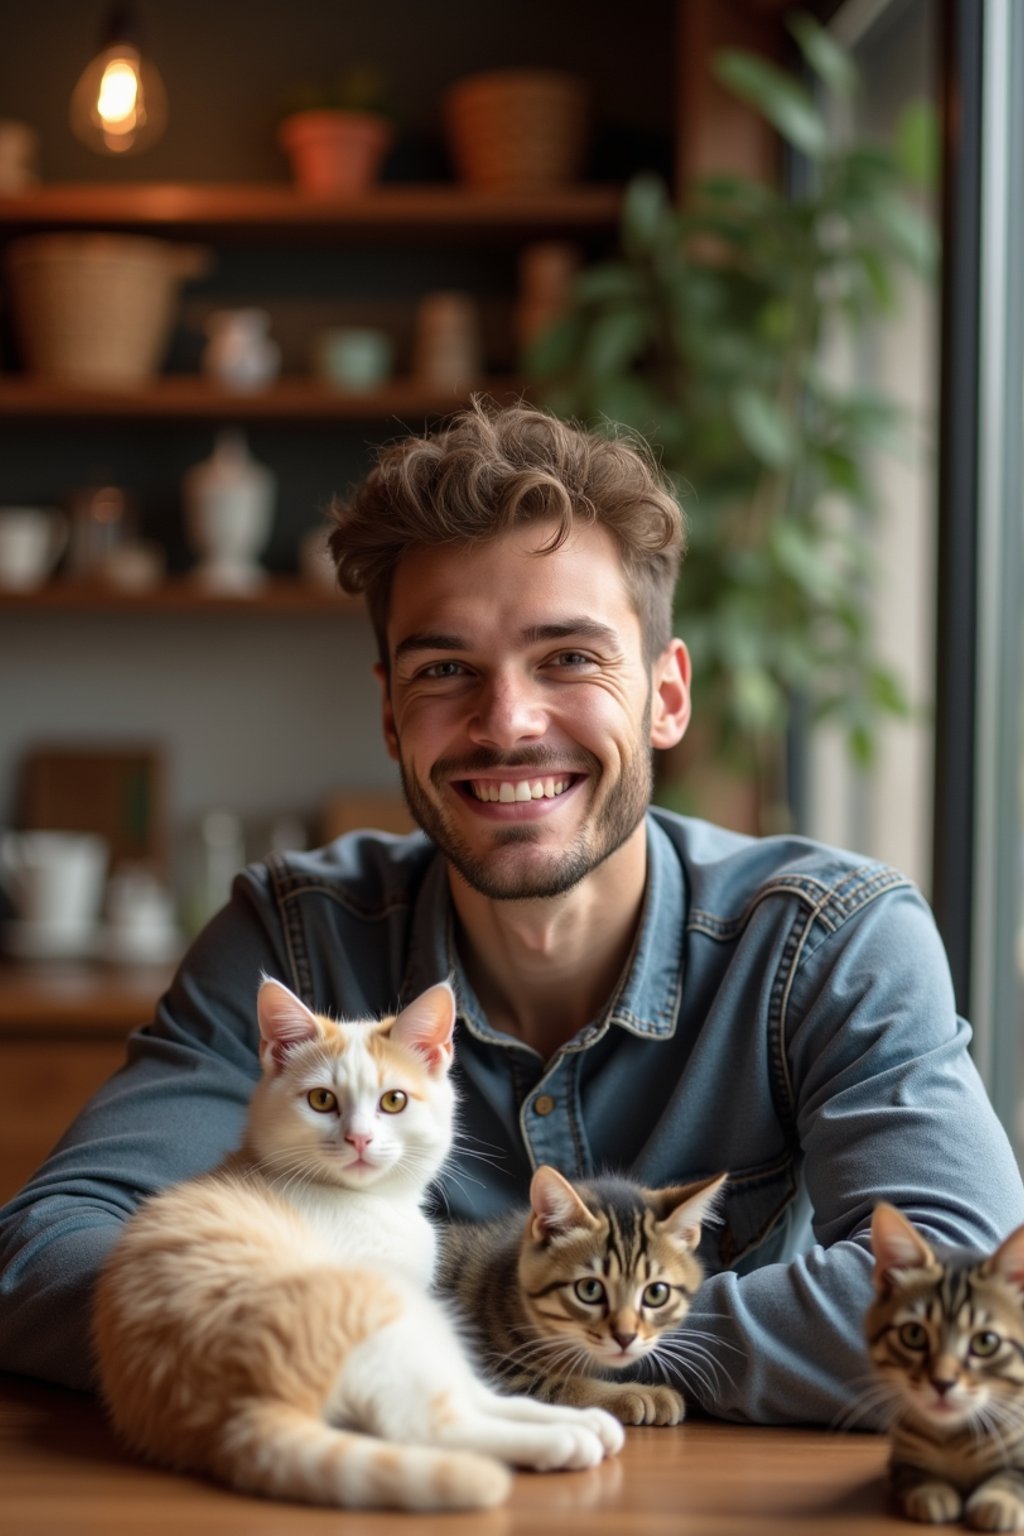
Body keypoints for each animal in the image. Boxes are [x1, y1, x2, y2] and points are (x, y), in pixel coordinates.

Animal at [94, 976, 626, 1517]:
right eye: (321, 1100)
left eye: (394, 1101)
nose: (359, 1139)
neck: (372, 1203)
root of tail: (232, 1412)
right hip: (390, 1314)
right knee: (427, 1424)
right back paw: (562, 1440)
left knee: (467, 1395)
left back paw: (580, 1421)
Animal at [436, 1161, 724, 1425]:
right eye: (590, 1289)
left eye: (656, 1293)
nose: (626, 1337)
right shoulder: (497, 1372)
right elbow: (558, 1385)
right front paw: (637, 1394)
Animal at [872, 1204, 1024, 1529]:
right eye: (913, 1335)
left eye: (985, 1342)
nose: (942, 1383)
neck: (952, 1437)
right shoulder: (899, 1459)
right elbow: (912, 1473)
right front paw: (932, 1492)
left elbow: (1015, 1476)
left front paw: (998, 1500)